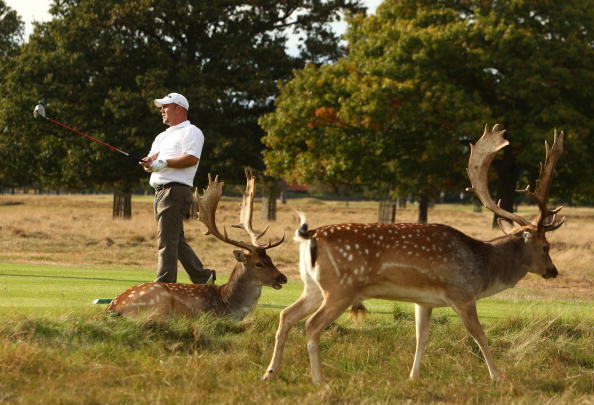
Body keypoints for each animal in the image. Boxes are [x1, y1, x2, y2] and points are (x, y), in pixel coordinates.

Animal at [109, 170, 290, 318]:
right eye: (259, 263)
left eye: (270, 259)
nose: (283, 277)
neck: (226, 304)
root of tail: (113, 307)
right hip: (158, 303)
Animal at [262, 124, 564, 384]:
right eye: (546, 247)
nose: (553, 271)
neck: (482, 267)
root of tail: (309, 236)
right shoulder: (462, 294)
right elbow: (479, 335)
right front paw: (498, 377)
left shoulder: (424, 301)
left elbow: (422, 336)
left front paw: (413, 376)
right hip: (341, 288)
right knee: (311, 325)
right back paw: (318, 379)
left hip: (312, 285)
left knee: (286, 315)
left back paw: (270, 373)